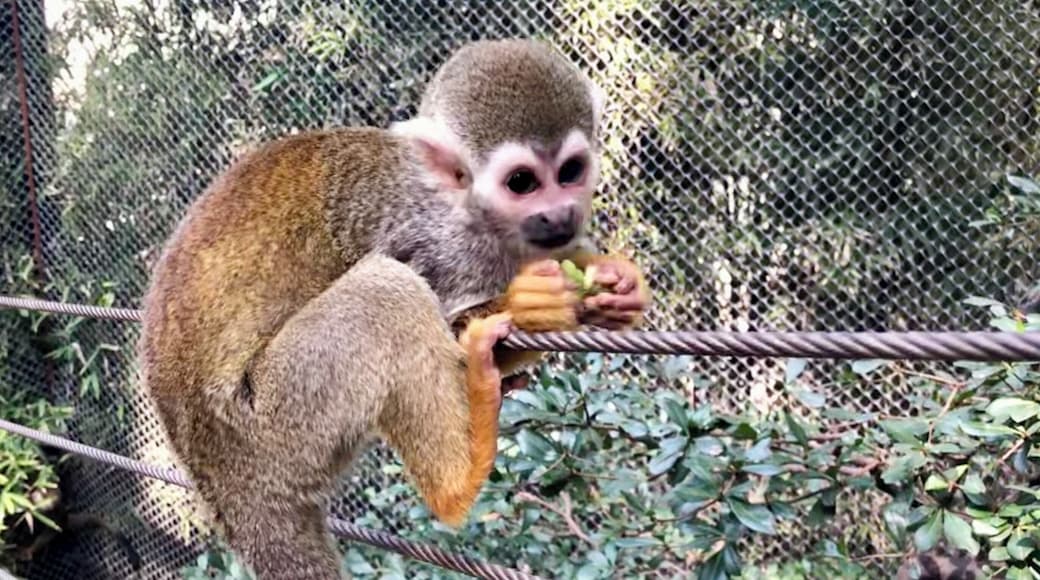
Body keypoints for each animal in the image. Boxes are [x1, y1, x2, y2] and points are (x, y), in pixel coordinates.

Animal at [138, 39, 649, 579]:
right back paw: (456, 482)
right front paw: (533, 304)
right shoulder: (436, 242)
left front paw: (615, 283)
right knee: (386, 291)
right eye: (522, 183)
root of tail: (224, 485)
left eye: (570, 172)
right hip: (264, 422)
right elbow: (449, 320)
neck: (468, 209)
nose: (559, 215)